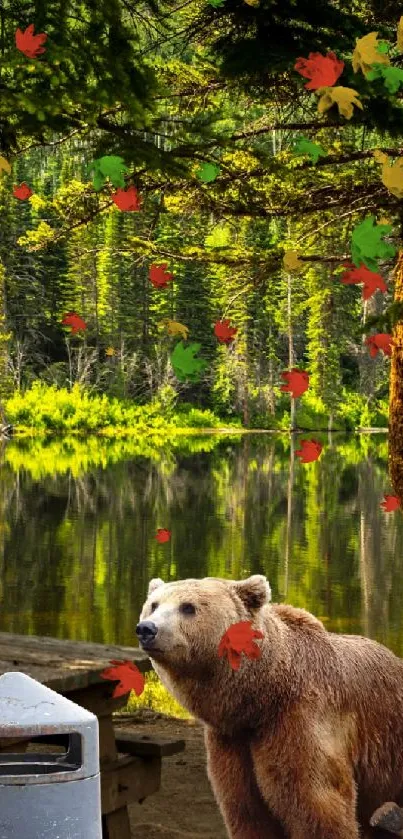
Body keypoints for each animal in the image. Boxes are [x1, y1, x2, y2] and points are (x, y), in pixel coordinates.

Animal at [137, 576, 403, 839]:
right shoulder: (232, 741)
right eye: (154, 604)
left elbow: (317, 803)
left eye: (188, 607)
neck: (260, 700)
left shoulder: (299, 720)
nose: (147, 629)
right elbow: (247, 810)